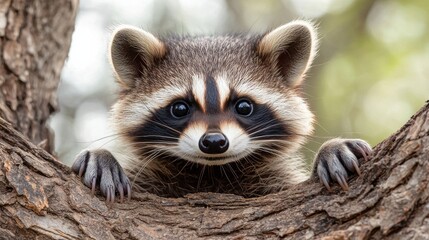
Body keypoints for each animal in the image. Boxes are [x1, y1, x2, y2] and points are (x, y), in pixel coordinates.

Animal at [71, 20, 372, 202]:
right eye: (180, 108)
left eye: (244, 106)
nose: (214, 142)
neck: (212, 172)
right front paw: (102, 155)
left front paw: (331, 147)